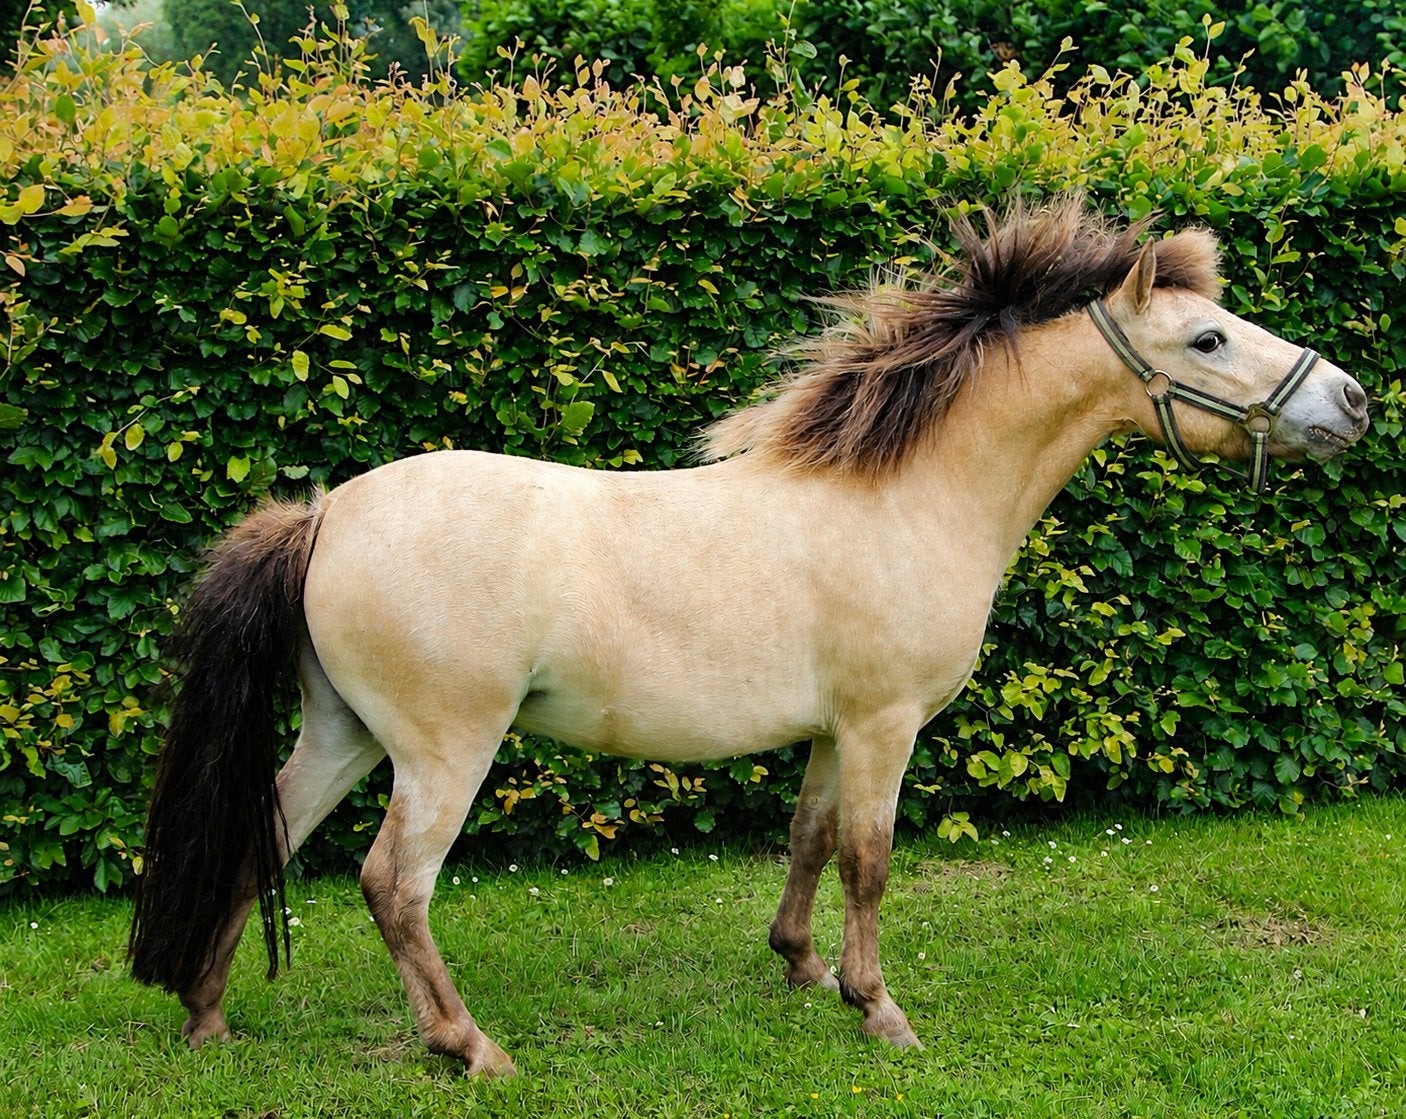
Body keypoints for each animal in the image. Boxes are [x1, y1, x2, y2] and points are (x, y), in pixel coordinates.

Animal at [127, 200, 1369, 1077]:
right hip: (443, 752)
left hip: (342, 734)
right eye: (1206, 337)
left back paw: (207, 1019)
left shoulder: (831, 730)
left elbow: (809, 841)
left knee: (262, 835)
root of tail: (324, 515)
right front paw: (879, 1012)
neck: (903, 496)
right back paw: (468, 1048)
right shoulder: (882, 727)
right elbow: (868, 859)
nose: (1350, 404)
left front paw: (802, 969)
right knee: (394, 885)